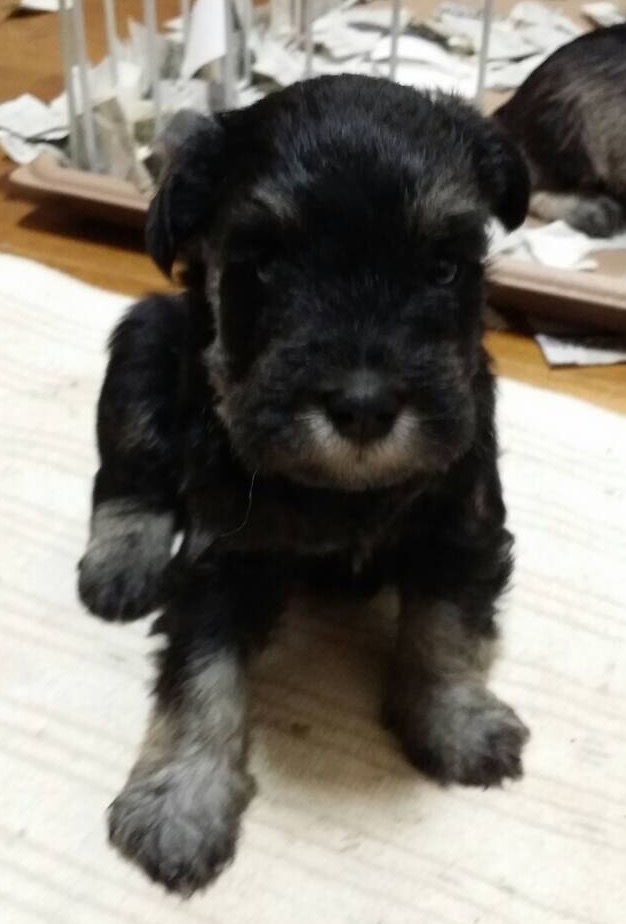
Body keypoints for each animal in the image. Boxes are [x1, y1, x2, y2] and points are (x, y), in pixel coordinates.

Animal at [78, 74, 530, 895]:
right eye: (263, 264)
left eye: (443, 267)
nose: (363, 407)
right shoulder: (221, 561)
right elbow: (202, 678)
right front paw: (180, 802)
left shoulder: (461, 526)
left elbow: (447, 629)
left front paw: (457, 722)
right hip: (143, 345)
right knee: (127, 475)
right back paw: (119, 564)